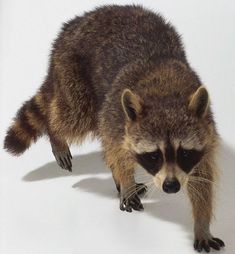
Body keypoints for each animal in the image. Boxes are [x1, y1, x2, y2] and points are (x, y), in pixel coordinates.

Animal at [3, 3, 224, 252]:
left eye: (184, 153)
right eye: (154, 156)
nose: (171, 186)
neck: (165, 95)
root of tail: (73, 24)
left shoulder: (206, 131)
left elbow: (202, 177)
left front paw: (202, 223)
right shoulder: (117, 117)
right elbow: (117, 152)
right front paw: (125, 183)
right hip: (74, 75)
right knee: (73, 115)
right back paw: (56, 134)